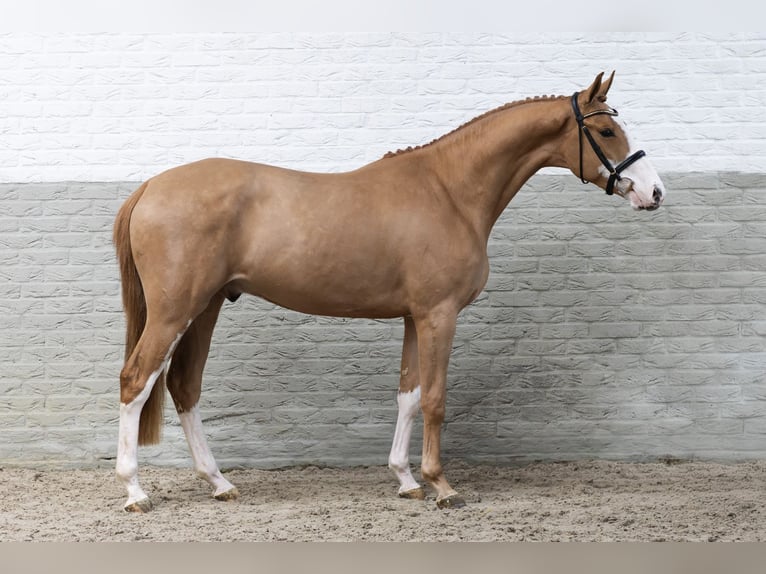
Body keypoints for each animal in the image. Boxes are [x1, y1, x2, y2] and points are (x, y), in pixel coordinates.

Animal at [113, 72, 665, 512]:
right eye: (606, 130)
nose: (654, 191)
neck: (449, 191)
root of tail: (150, 187)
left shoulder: (413, 317)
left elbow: (408, 394)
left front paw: (406, 480)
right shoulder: (440, 314)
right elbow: (436, 398)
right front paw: (441, 486)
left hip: (205, 307)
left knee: (184, 386)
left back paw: (220, 483)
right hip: (175, 311)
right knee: (137, 380)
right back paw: (135, 491)